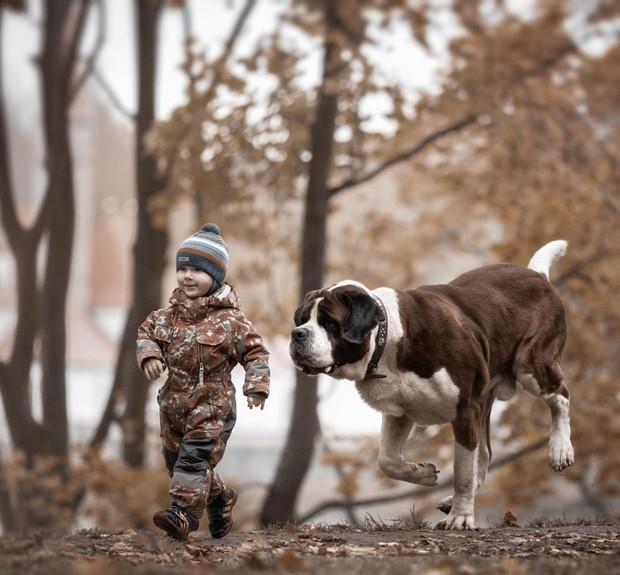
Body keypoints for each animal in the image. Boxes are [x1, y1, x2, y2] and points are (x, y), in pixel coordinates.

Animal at [290, 241, 576, 528]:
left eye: (329, 322)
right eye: (302, 320)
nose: (297, 334)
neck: (388, 339)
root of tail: (537, 275)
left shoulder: (464, 410)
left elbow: (462, 471)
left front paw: (461, 517)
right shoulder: (400, 412)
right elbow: (387, 460)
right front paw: (423, 474)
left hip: (531, 366)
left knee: (560, 396)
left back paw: (560, 449)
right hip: (486, 396)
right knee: (484, 453)